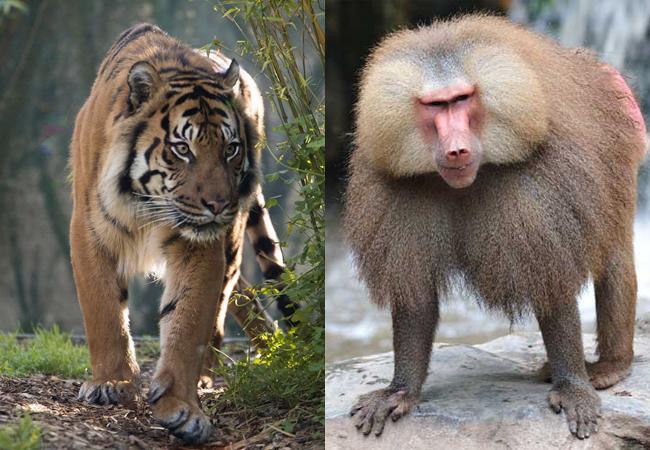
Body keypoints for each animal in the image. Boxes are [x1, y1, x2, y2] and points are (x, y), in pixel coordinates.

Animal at [69, 23, 292, 444]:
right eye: (182, 148)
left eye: (231, 149)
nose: (218, 204)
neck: (147, 203)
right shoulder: (89, 231)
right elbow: (104, 312)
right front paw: (111, 384)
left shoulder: (199, 245)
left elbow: (187, 322)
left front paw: (182, 408)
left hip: (232, 244)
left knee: (223, 303)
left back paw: (214, 371)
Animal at [344, 15, 647, 440]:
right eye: (435, 105)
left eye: (462, 99)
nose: (456, 150)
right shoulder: (398, 192)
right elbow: (415, 296)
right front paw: (399, 391)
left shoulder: (538, 188)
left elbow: (551, 286)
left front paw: (573, 387)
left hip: (623, 137)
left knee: (614, 255)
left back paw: (609, 367)